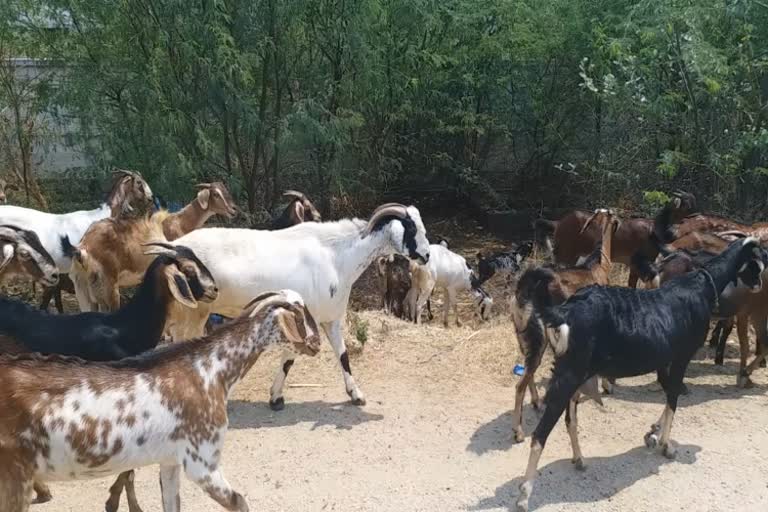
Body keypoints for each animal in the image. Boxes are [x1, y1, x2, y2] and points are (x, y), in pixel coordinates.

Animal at [0, 290, 320, 512]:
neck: (210, 372)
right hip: (14, 476)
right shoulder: (202, 463)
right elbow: (241, 502)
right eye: (301, 315)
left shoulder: (170, 461)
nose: (316, 344)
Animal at [167, 203, 428, 408]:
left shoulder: (331, 318)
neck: (336, 256)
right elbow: (289, 359)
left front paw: (356, 395)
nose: (426, 255)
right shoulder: (303, 317)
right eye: (412, 228)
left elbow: (342, 355)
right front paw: (275, 398)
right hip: (192, 314)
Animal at [516, 238, 768, 510]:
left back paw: (579, 459)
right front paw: (667, 446)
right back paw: (524, 495)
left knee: (570, 420)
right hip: (570, 374)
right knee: (540, 433)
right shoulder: (681, 356)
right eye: (757, 262)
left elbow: (669, 395)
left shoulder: (664, 361)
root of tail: (565, 313)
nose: (759, 285)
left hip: (576, 372)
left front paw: (653, 432)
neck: (701, 286)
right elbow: (674, 398)